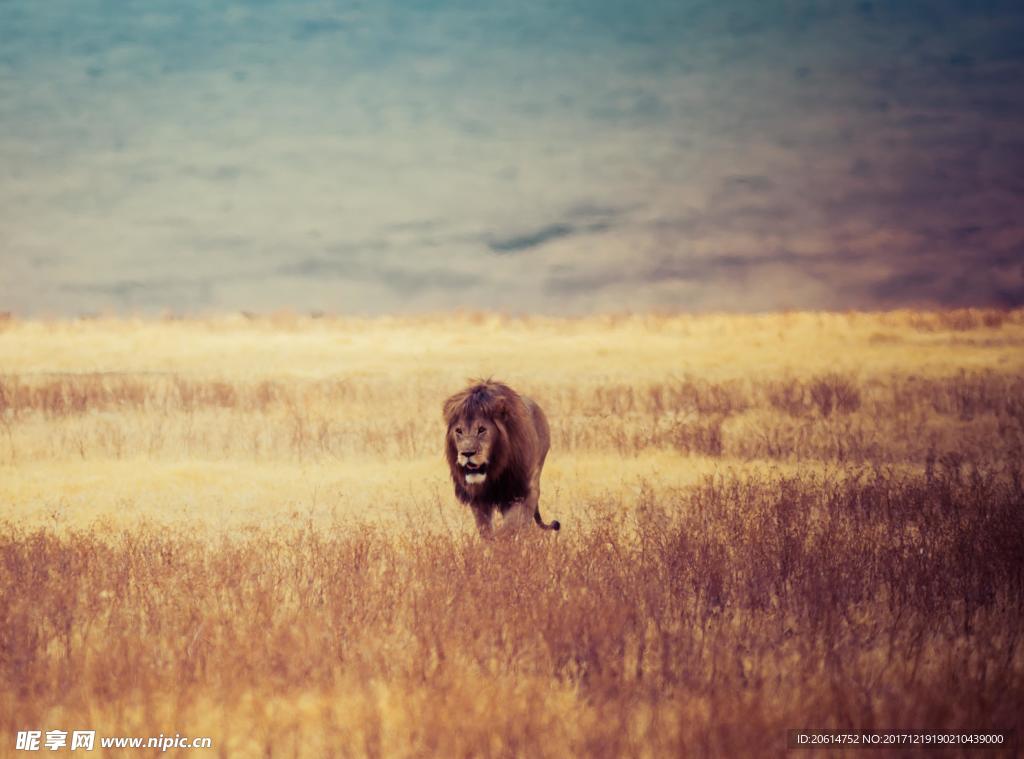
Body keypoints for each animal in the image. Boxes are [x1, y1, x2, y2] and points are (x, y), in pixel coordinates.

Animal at [444, 378, 565, 540]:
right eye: (459, 431)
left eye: (481, 430)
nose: (467, 453)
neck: (495, 468)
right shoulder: (478, 499)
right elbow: (486, 529)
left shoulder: (524, 492)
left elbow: (511, 526)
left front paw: (503, 541)